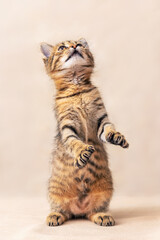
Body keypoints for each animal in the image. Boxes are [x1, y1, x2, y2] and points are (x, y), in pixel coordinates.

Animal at [40, 38, 129, 227]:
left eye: (80, 45)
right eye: (61, 47)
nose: (75, 46)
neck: (77, 88)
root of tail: (79, 209)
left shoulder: (101, 119)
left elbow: (108, 128)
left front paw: (117, 136)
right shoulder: (67, 126)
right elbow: (74, 142)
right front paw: (82, 151)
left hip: (105, 192)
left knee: (94, 211)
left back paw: (102, 215)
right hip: (54, 193)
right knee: (62, 210)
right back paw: (55, 216)